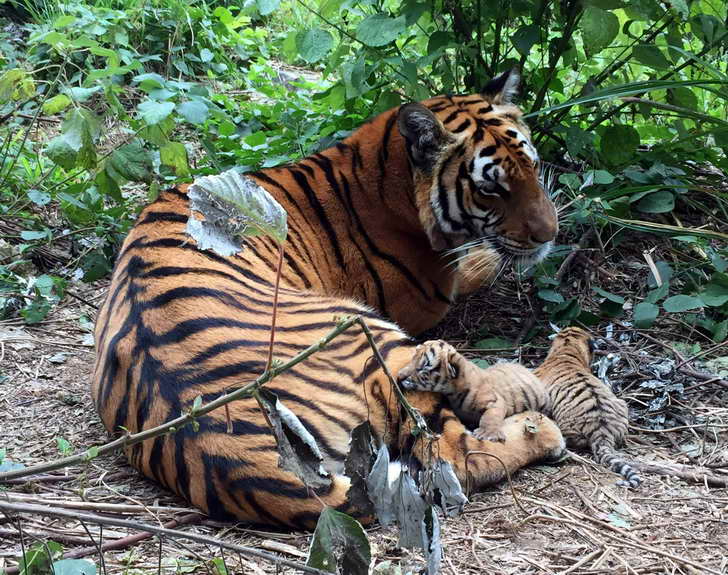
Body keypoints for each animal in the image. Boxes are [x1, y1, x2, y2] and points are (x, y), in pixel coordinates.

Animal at [397, 340, 549, 442]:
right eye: (412, 359)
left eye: (423, 367)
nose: (399, 376)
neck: (453, 392)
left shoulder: (495, 401)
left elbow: (490, 417)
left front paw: (487, 434)